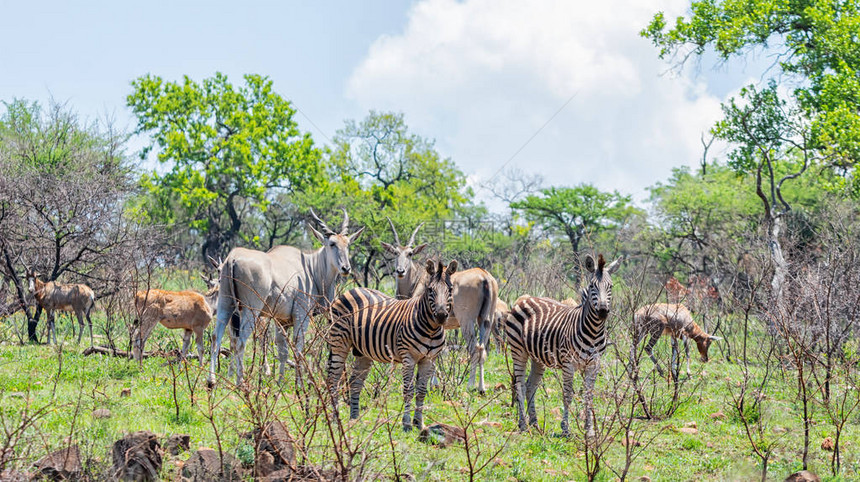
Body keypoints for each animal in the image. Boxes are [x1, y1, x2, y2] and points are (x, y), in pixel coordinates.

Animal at [214, 208, 366, 388]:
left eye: (348, 244)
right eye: (332, 244)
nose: (346, 268)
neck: (311, 268)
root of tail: (233, 258)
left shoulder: (281, 321)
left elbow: (283, 351)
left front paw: (280, 382)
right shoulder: (301, 316)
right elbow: (298, 348)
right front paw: (299, 384)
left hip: (226, 305)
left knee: (216, 337)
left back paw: (211, 380)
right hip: (250, 310)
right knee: (241, 341)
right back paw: (240, 382)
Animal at [326, 260, 456, 434]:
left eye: (450, 289)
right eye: (430, 290)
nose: (441, 316)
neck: (431, 329)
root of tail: (351, 290)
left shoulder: (429, 360)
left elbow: (421, 392)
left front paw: (419, 424)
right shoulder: (408, 358)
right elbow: (408, 390)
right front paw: (406, 424)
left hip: (363, 352)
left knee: (355, 383)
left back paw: (355, 419)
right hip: (339, 343)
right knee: (333, 379)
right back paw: (335, 419)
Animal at [382, 220, 498, 394]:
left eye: (410, 253)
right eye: (396, 253)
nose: (400, 271)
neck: (418, 280)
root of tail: (485, 277)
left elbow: (435, 353)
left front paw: (433, 383)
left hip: (467, 321)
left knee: (474, 349)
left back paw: (470, 385)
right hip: (486, 320)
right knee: (482, 349)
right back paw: (481, 387)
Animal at [508, 254, 620, 438]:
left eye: (610, 286)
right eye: (592, 286)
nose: (603, 311)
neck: (594, 331)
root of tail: (525, 298)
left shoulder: (594, 365)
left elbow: (588, 396)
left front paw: (589, 430)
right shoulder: (569, 364)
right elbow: (567, 395)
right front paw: (566, 428)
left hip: (537, 357)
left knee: (531, 385)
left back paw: (534, 423)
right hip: (518, 350)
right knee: (520, 385)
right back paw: (523, 424)